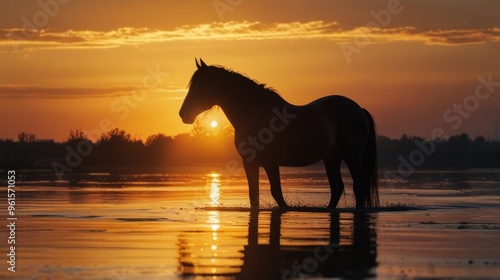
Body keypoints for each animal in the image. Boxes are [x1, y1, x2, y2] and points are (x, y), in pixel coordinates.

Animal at [180, 58, 378, 208]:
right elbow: (254, 195)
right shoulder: (250, 163)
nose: (183, 114)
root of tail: (358, 109)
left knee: (358, 186)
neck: (254, 114)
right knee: (337, 187)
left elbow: (277, 194)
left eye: (199, 86)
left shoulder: (270, 163)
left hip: (351, 156)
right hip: (332, 157)